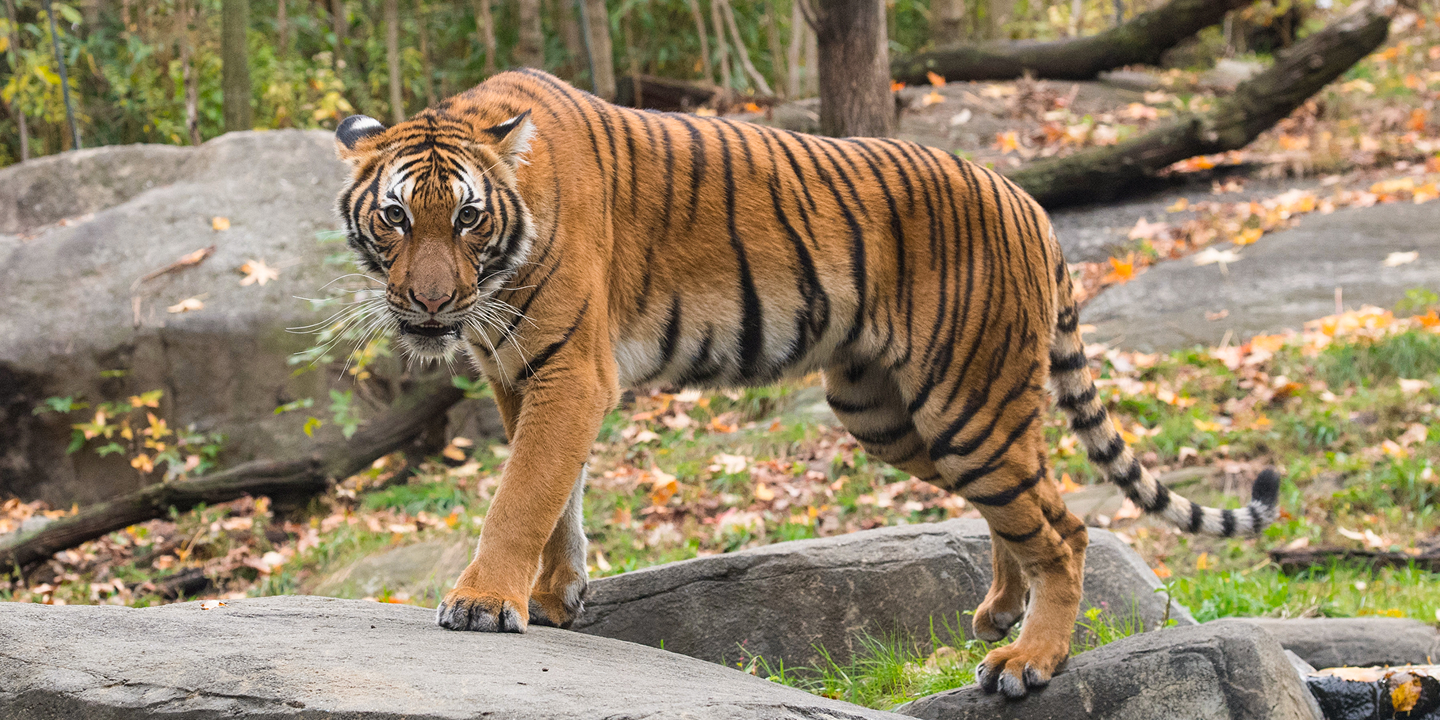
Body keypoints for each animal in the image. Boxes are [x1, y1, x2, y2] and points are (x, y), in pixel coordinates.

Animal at [332, 69, 1279, 698]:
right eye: (394, 217)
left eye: (467, 216)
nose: (430, 303)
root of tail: (1030, 202)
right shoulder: (517, 374)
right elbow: (559, 495)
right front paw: (554, 597)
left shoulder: (569, 370)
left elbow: (523, 492)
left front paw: (483, 602)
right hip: (891, 414)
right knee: (1029, 504)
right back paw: (1000, 613)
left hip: (965, 403)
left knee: (1067, 528)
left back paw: (1029, 661)